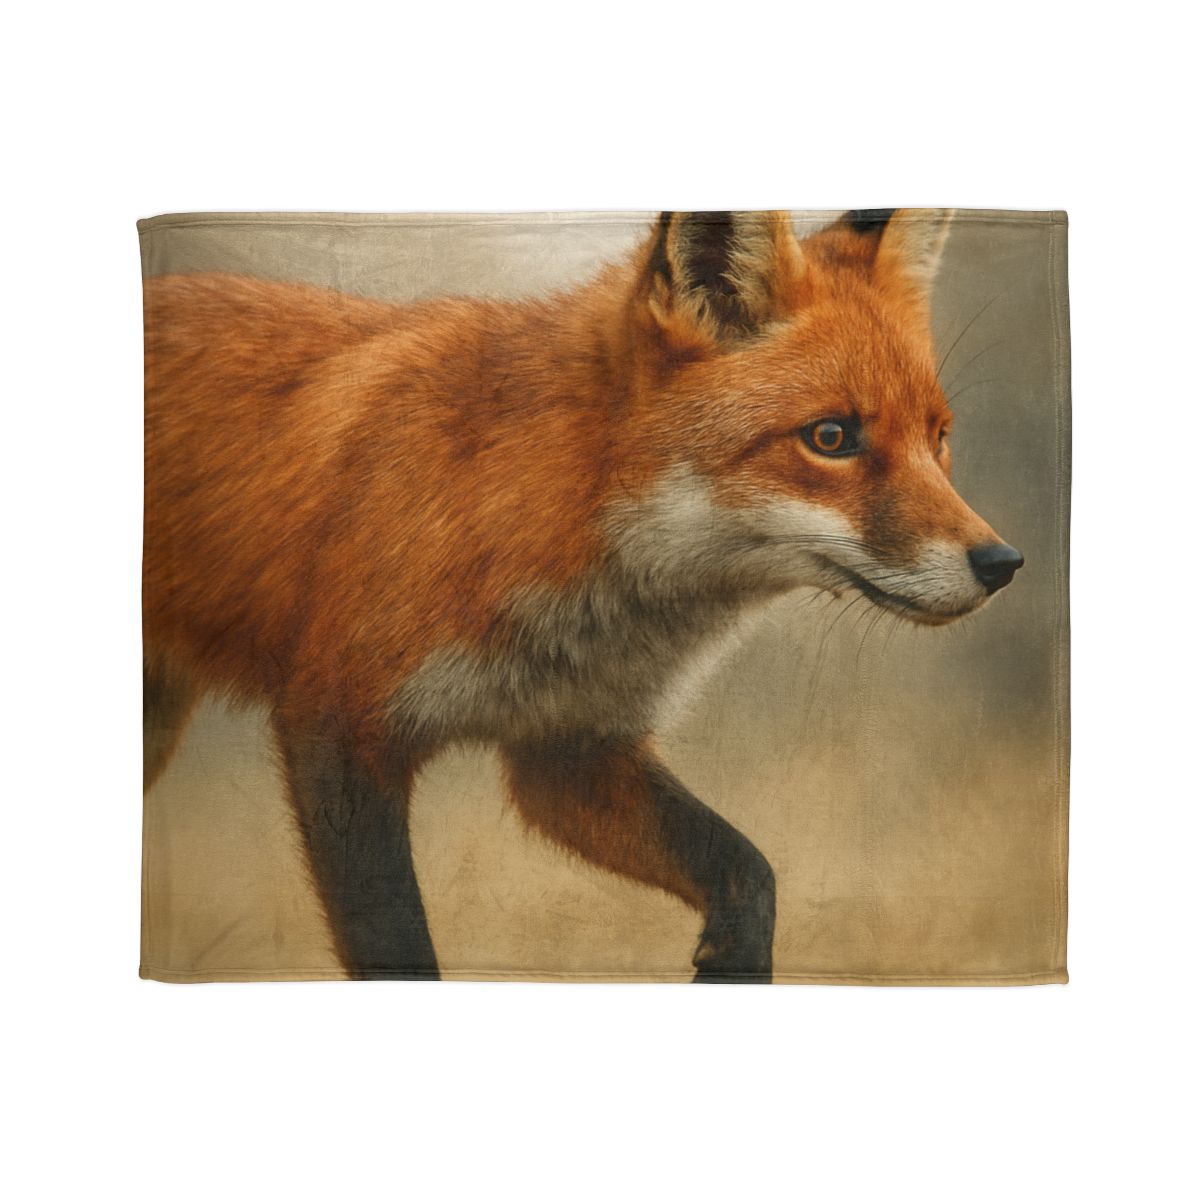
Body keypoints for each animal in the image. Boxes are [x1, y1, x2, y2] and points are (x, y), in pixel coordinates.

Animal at [143, 209, 1023, 982]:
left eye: (939, 438)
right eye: (832, 438)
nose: (1002, 563)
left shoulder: (569, 749)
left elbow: (748, 871)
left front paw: (731, 965)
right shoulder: (337, 730)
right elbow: (401, 951)